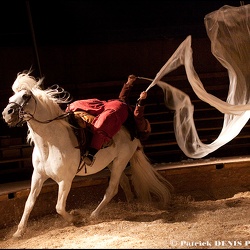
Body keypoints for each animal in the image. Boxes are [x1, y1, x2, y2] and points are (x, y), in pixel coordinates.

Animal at [1, 72, 173, 238]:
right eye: (10, 98)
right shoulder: (38, 175)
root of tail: (132, 134)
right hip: (112, 163)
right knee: (123, 183)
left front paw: (76, 218)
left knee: (112, 189)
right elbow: (29, 203)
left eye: (26, 96)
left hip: (121, 161)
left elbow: (59, 207)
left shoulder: (65, 180)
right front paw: (19, 232)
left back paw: (93, 215)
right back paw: (130, 204)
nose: (7, 113)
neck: (50, 144)